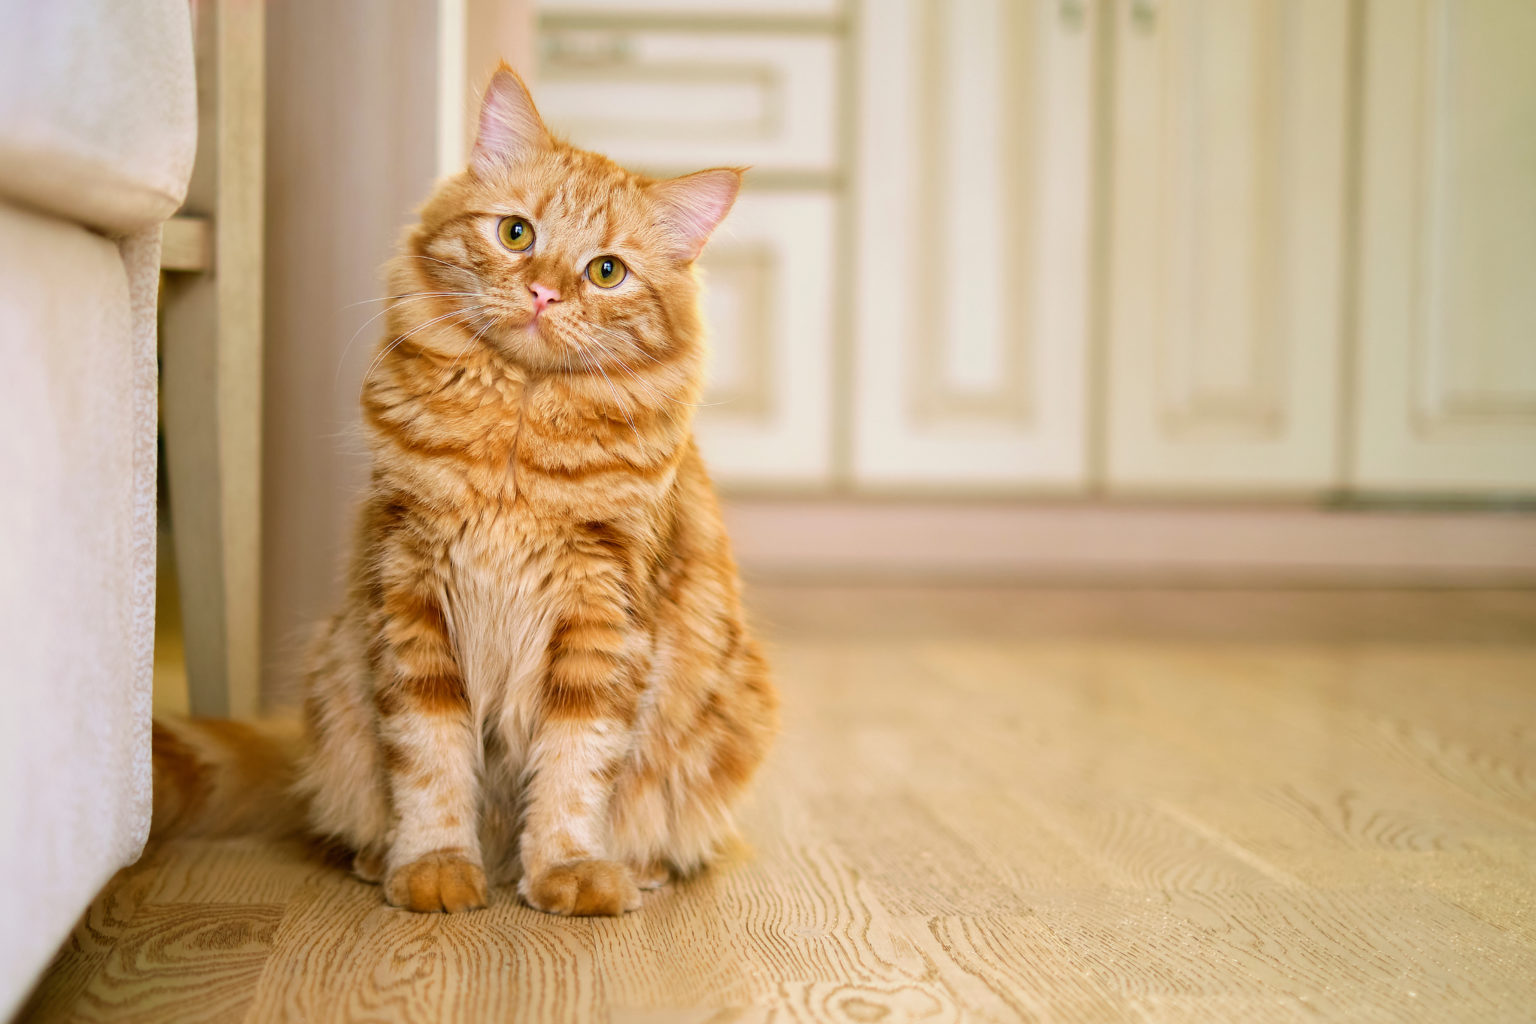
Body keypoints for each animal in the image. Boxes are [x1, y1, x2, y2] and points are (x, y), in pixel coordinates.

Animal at [152, 64, 780, 914]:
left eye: (606, 271)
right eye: (516, 234)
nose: (545, 293)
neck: (515, 436)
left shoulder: (602, 613)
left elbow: (576, 766)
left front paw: (569, 871)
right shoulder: (412, 593)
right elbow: (431, 757)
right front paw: (435, 867)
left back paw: (637, 868)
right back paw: (377, 858)